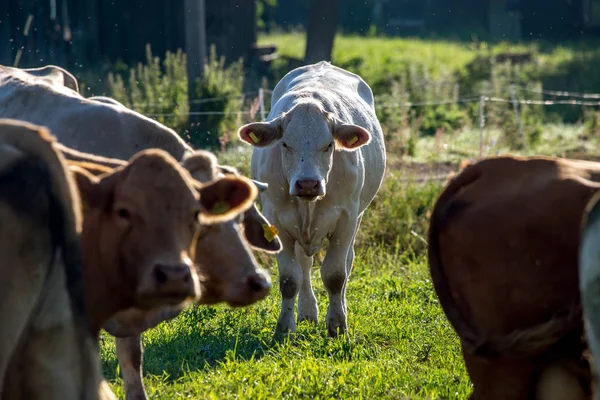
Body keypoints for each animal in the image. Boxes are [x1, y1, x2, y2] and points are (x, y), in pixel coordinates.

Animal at [236, 61, 384, 338]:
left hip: (357, 218)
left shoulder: (346, 219)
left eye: (328, 145)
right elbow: (289, 279)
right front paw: (284, 329)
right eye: (285, 144)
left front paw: (338, 326)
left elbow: (336, 275)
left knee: (346, 264)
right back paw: (307, 313)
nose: (307, 183)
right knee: (304, 265)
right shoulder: (276, 220)